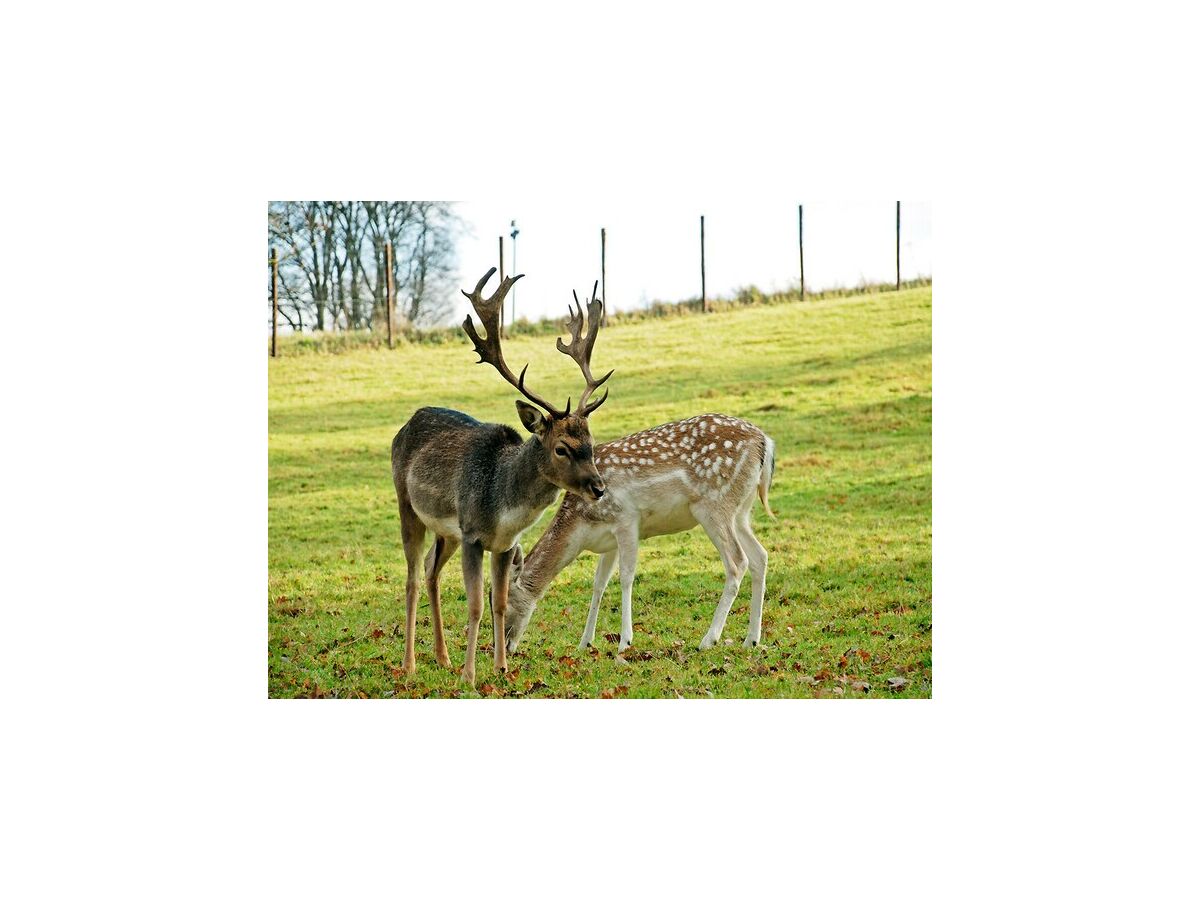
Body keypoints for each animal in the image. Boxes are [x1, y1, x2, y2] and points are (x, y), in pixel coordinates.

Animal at [393, 271, 614, 686]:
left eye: (591, 443)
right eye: (562, 448)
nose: (599, 487)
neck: (504, 505)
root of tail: (407, 422)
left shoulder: (505, 544)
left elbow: (498, 603)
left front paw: (501, 668)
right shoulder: (473, 535)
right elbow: (476, 605)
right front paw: (470, 676)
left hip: (447, 532)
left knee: (431, 571)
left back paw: (442, 657)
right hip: (407, 506)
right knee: (412, 577)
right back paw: (411, 664)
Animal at [501, 415, 772, 657]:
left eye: (503, 604)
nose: (504, 645)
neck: (582, 523)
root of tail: (765, 442)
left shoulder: (627, 520)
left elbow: (626, 578)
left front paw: (625, 642)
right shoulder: (608, 541)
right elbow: (599, 584)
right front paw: (584, 643)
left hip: (714, 505)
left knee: (738, 562)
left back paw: (708, 640)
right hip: (741, 511)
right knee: (760, 556)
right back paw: (751, 640)